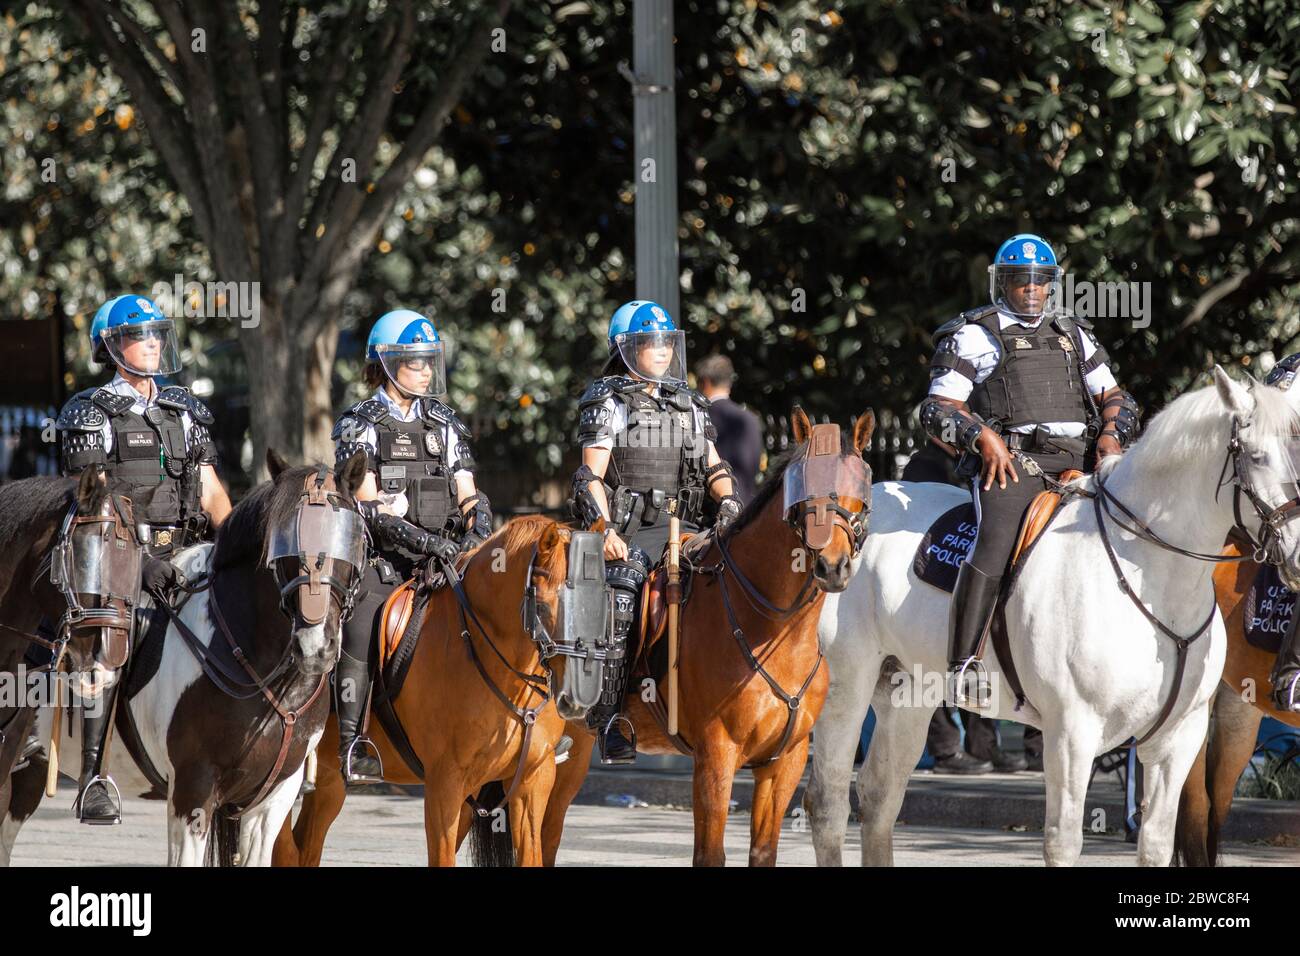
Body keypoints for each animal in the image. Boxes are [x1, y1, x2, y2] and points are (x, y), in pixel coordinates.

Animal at [275, 515, 608, 868]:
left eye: (602, 603)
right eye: (543, 607)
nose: (577, 699)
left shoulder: (532, 779)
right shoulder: (444, 783)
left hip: (328, 781)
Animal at [533, 408, 878, 868]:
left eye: (860, 489)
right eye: (804, 488)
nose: (833, 566)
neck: (772, 628)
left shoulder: (783, 764)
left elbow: (763, 851)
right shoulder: (716, 756)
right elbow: (709, 854)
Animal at [806, 366, 1300, 868]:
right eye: (1257, 456)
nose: (1298, 554)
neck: (1153, 580)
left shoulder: (1178, 739)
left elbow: (1158, 844)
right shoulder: (1071, 733)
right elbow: (1063, 841)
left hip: (906, 695)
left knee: (879, 799)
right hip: (846, 691)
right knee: (828, 804)